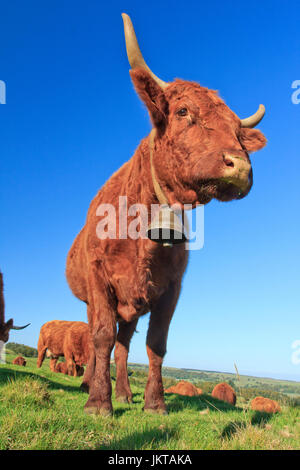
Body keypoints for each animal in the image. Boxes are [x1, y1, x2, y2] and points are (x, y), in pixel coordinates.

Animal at [66, 12, 268, 414]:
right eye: (183, 111)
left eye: (239, 132)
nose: (240, 167)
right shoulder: (99, 280)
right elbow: (100, 337)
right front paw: (98, 403)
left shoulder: (171, 288)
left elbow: (155, 345)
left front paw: (154, 403)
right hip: (96, 300)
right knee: (101, 338)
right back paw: (90, 385)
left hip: (131, 306)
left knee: (124, 345)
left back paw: (125, 393)